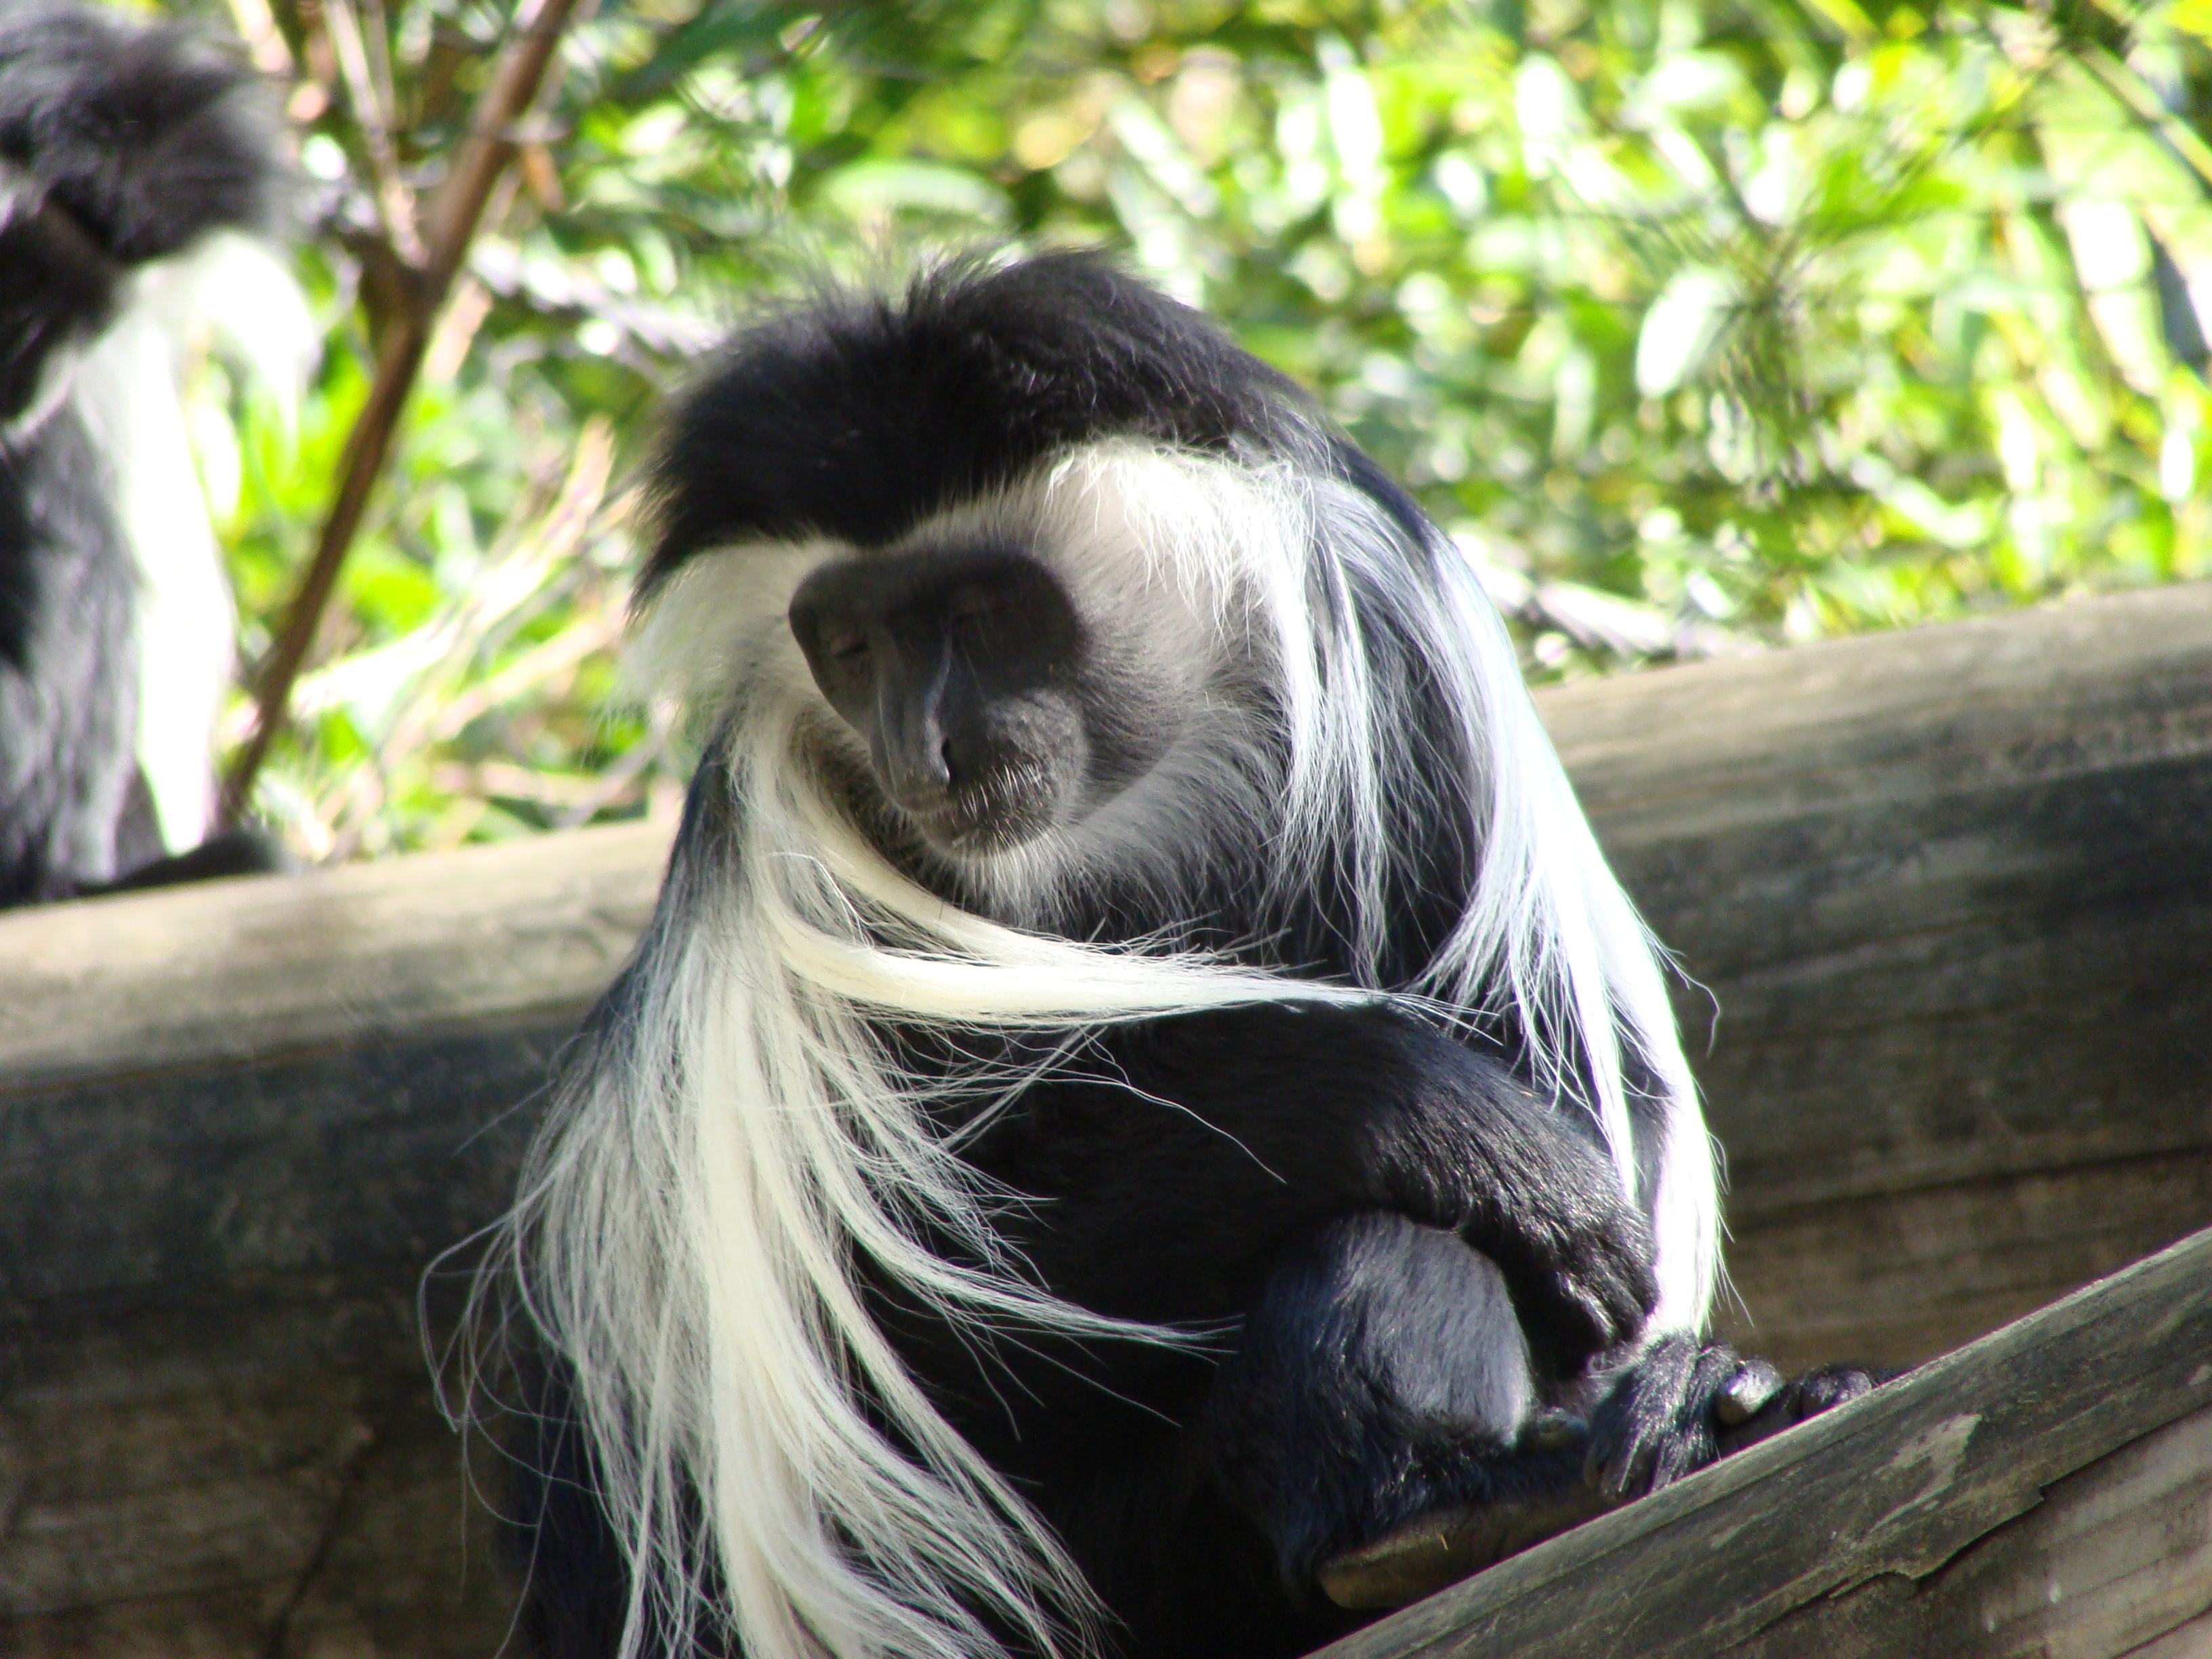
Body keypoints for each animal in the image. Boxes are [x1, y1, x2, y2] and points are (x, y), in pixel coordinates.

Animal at [491, 252, 1875, 1659]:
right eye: (853, 645)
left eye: (982, 610)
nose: (920, 749)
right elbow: (908, 1295)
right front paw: (1431, 1118)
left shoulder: (1396, 656)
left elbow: (1577, 1080)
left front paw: (1677, 1371)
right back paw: (1421, 1506)